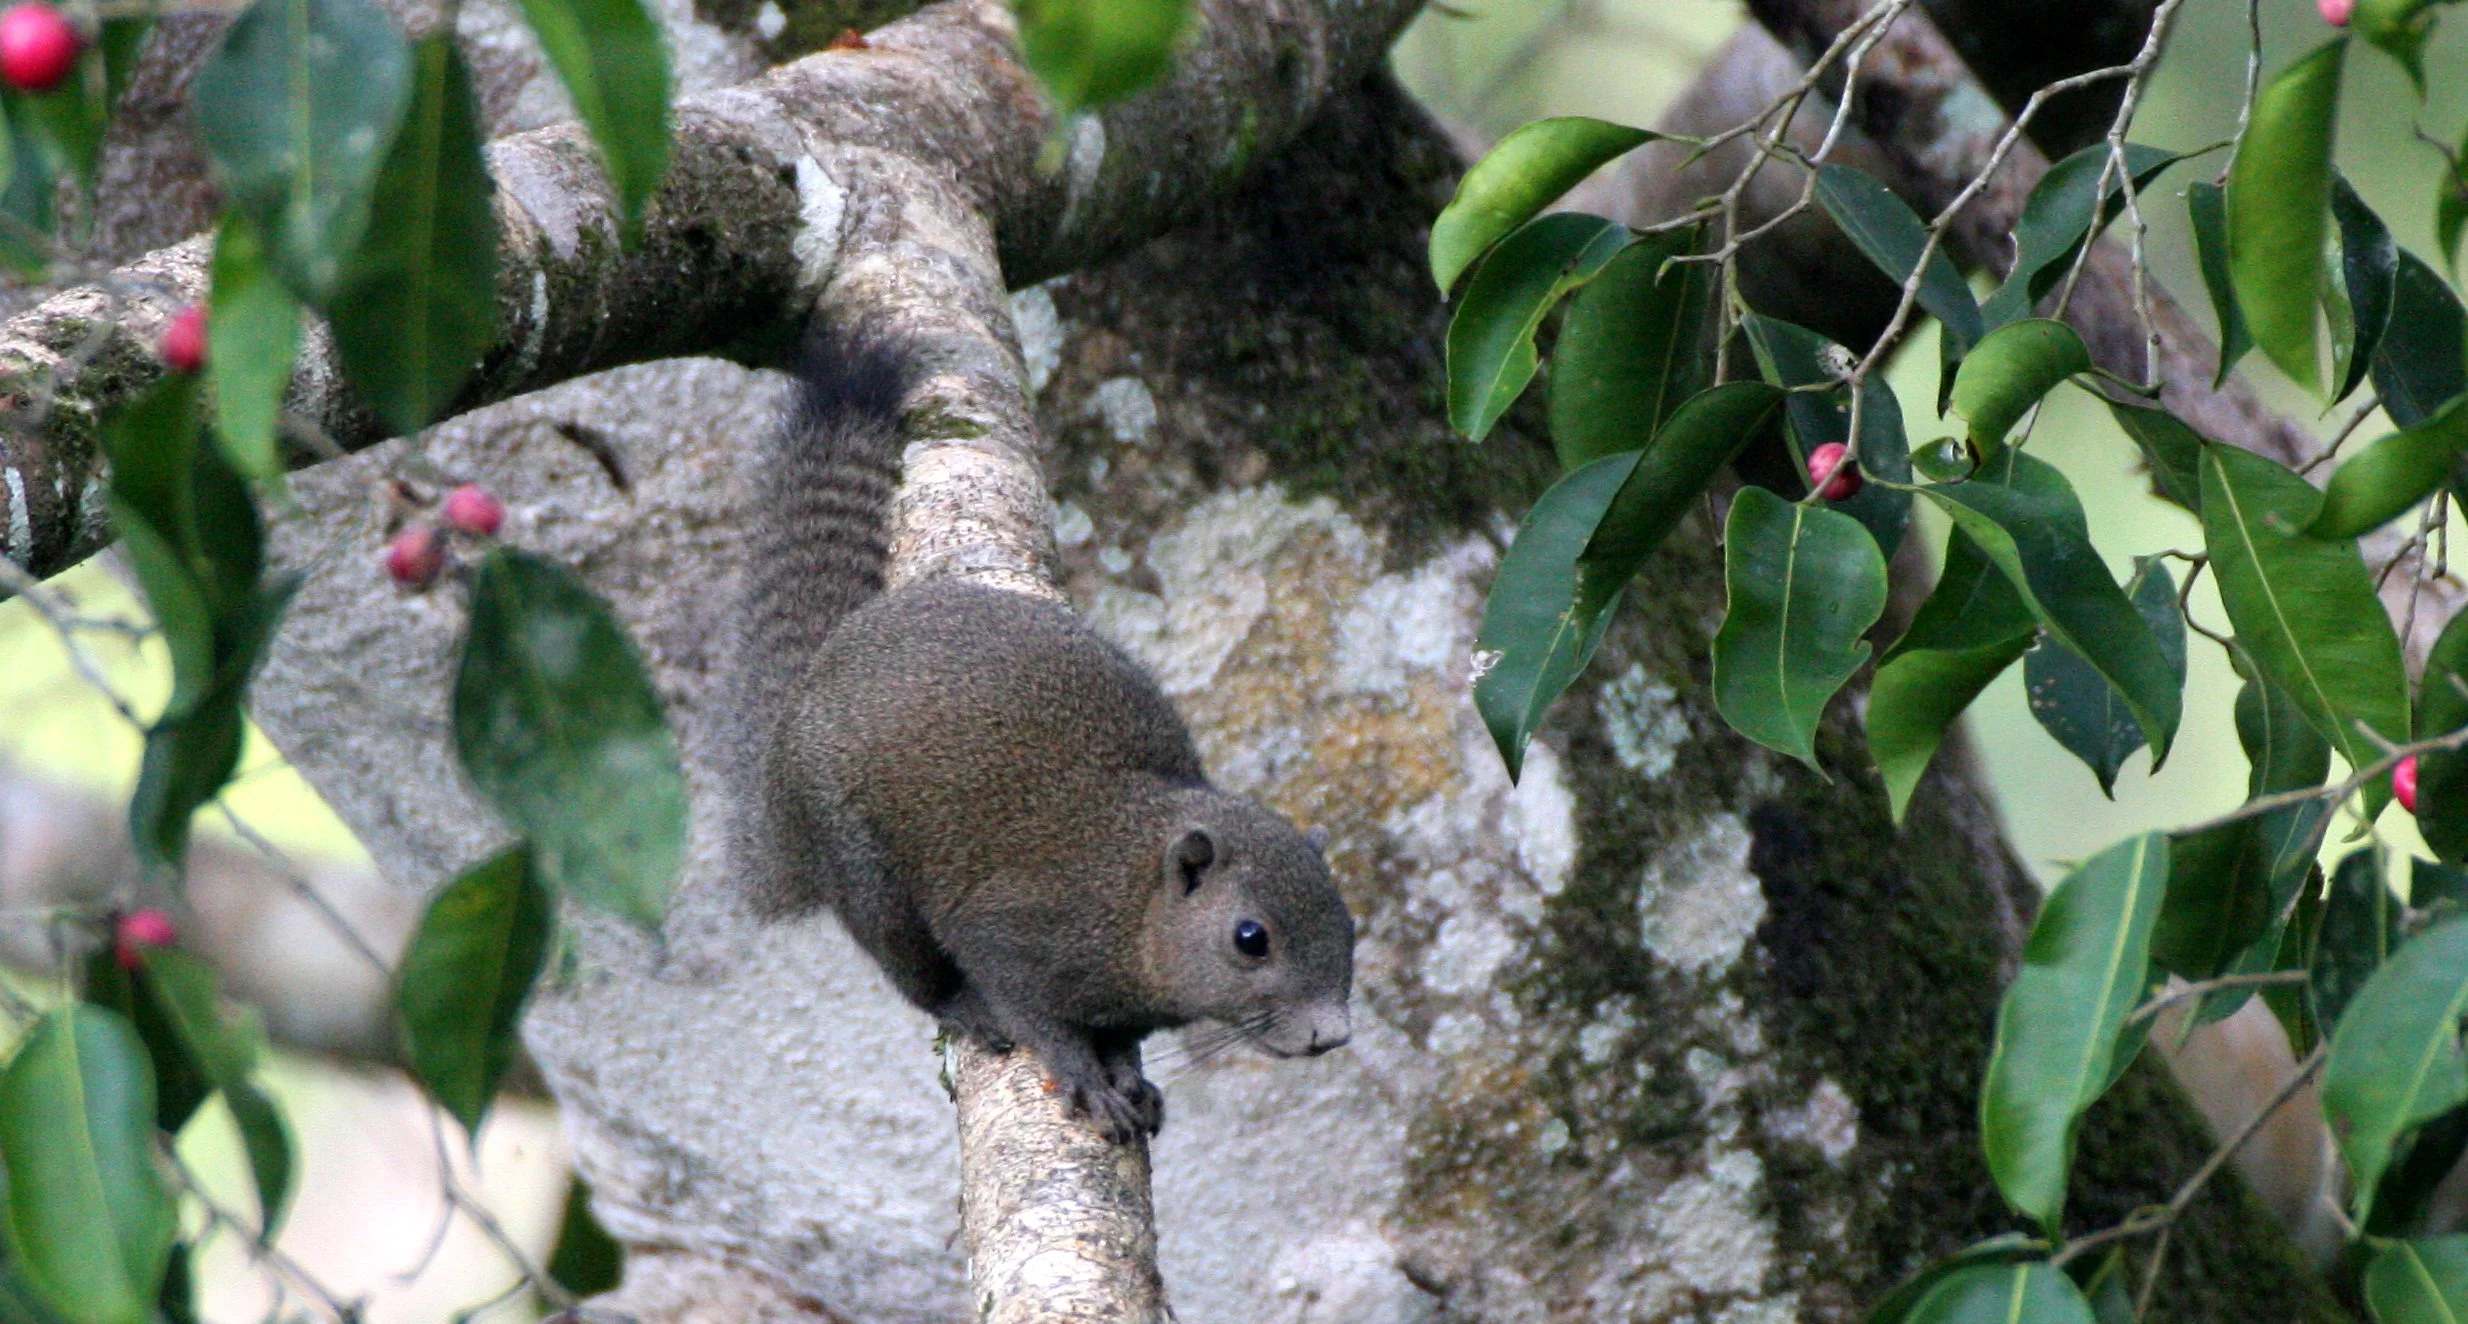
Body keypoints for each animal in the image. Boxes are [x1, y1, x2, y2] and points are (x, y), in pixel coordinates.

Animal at [729, 321, 1356, 1142]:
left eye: (1350, 924)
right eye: (1250, 938)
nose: (1332, 1035)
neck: (1128, 887)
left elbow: (1121, 1036)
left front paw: (1129, 1076)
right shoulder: (1013, 930)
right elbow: (1037, 1015)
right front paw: (1086, 1077)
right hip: (861, 866)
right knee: (914, 972)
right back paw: (964, 1006)